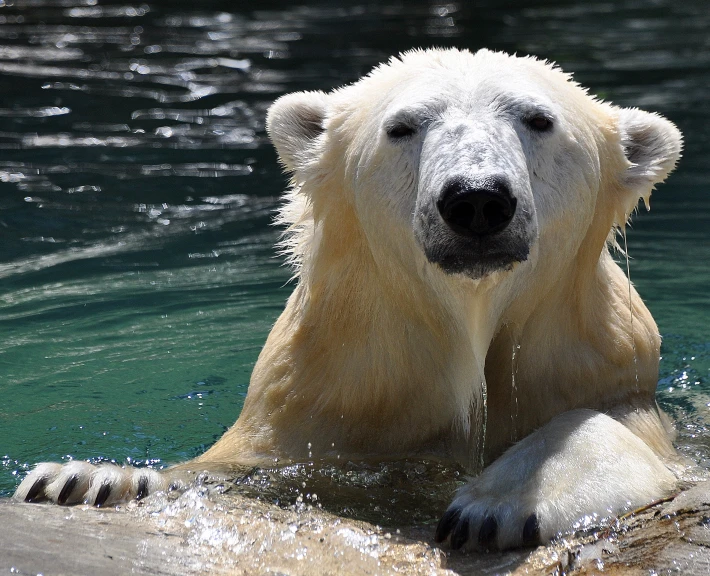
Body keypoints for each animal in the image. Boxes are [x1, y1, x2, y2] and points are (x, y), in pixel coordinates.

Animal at [15, 47, 684, 552]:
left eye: (539, 120)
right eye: (402, 126)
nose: (476, 199)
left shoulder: (595, 367)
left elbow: (612, 430)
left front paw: (494, 505)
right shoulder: (331, 396)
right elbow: (236, 465)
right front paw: (87, 480)